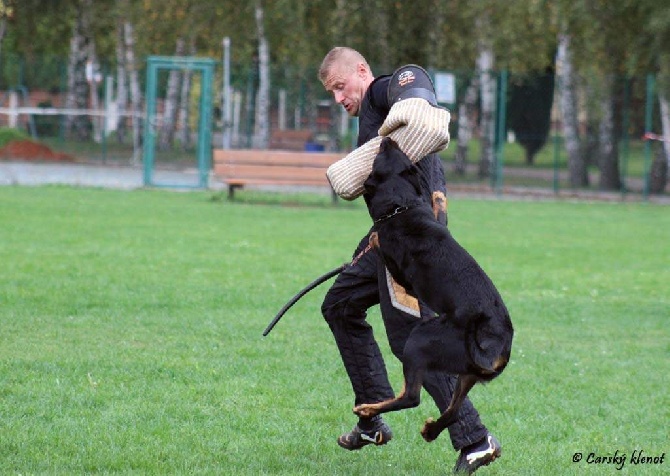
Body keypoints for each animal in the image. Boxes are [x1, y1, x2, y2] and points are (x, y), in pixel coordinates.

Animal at [360, 138, 516, 442]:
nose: (387, 138)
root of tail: (498, 348)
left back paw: (369, 408)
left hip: (421, 338)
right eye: (402, 154)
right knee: (453, 409)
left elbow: (378, 241)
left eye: (383, 154)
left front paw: (374, 237)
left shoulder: (402, 275)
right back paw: (431, 430)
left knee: (411, 397)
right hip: (465, 372)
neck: (403, 206)